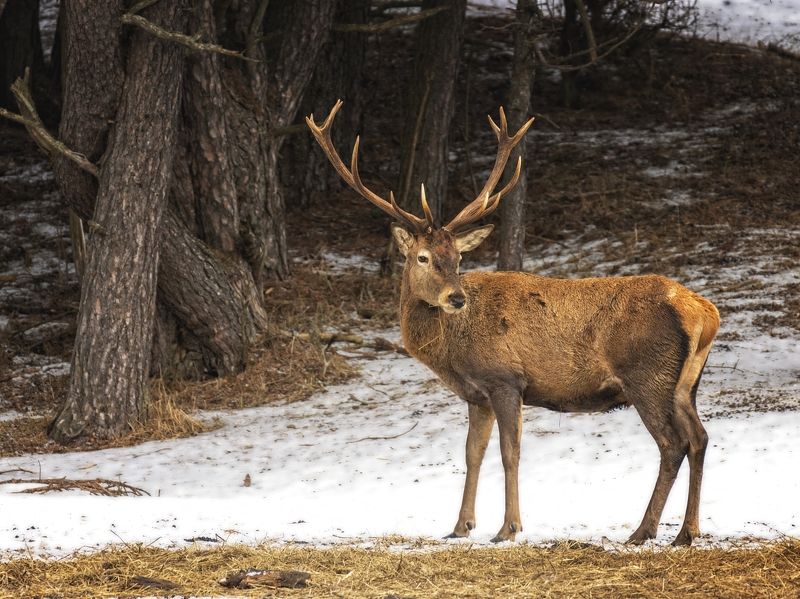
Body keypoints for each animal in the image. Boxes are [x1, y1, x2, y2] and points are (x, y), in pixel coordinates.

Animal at [306, 100, 720, 546]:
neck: (451, 353)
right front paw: (460, 526)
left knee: (672, 444)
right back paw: (687, 531)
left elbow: (510, 453)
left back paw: (643, 530)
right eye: (424, 257)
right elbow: (472, 453)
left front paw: (508, 527)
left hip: (647, 376)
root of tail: (704, 313)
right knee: (699, 437)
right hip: (685, 383)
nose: (455, 298)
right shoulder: (477, 395)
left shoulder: (505, 378)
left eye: (459, 257)